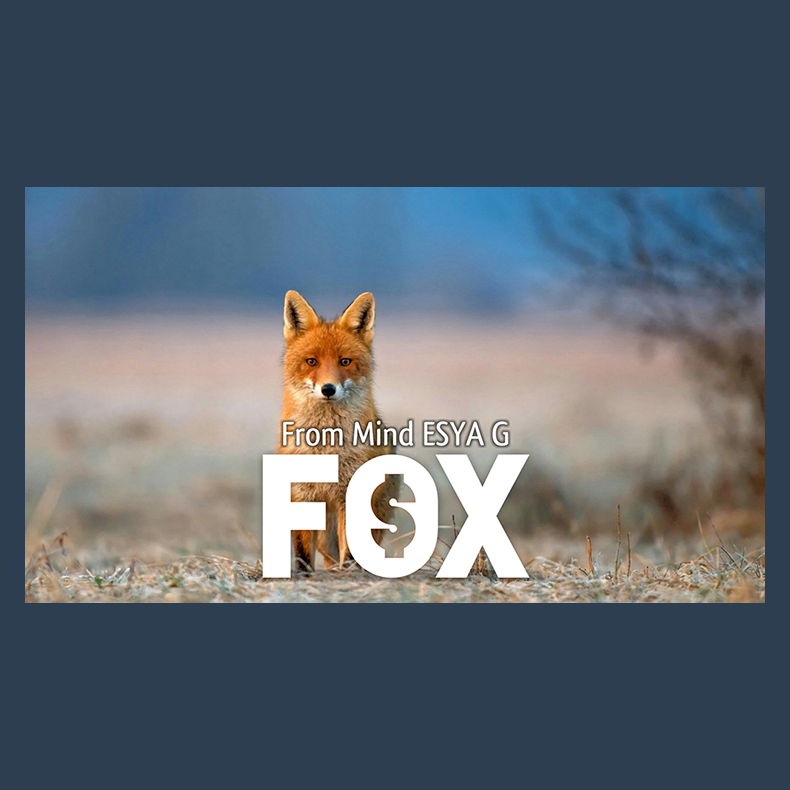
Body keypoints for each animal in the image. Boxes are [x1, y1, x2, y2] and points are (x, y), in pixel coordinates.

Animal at [278, 290, 397, 573]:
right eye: (311, 361)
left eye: (345, 361)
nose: (328, 389)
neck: (326, 447)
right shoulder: (301, 494)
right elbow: (302, 553)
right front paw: (304, 576)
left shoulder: (350, 494)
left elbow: (351, 551)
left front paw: (349, 574)